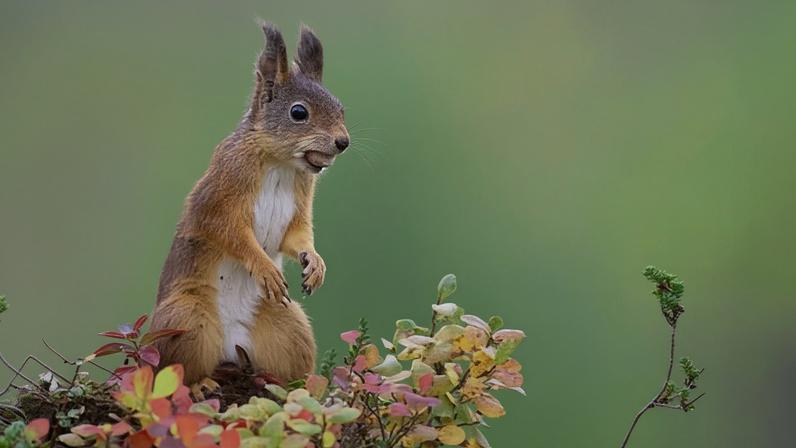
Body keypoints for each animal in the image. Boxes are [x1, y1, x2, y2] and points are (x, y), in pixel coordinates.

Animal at [150, 23, 349, 385]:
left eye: (341, 108)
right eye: (298, 112)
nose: (343, 142)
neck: (280, 164)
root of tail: (230, 347)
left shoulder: (300, 201)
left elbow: (296, 235)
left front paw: (314, 262)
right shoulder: (220, 192)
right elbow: (227, 231)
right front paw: (265, 267)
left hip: (290, 329)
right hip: (186, 320)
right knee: (173, 370)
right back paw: (200, 385)